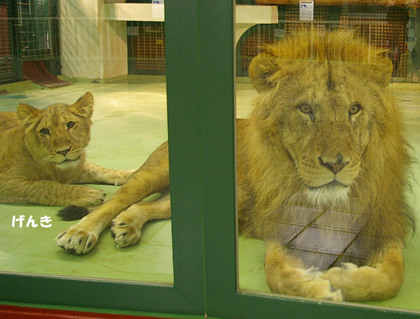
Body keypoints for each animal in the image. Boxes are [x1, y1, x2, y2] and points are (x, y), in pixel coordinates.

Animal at [0, 92, 134, 208]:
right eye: (45, 131)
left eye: (70, 124)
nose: (63, 151)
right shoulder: (6, 181)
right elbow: (44, 186)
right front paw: (87, 194)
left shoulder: (73, 170)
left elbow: (98, 169)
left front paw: (130, 174)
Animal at [55, 31, 414, 304]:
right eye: (305, 108)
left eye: (354, 109)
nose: (336, 163)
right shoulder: (280, 230)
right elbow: (277, 276)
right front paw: (324, 289)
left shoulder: (385, 227)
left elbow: (393, 278)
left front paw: (342, 278)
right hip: (156, 171)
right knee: (119, 199)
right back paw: (80, 232)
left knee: (151, 206)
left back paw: (127, 225)